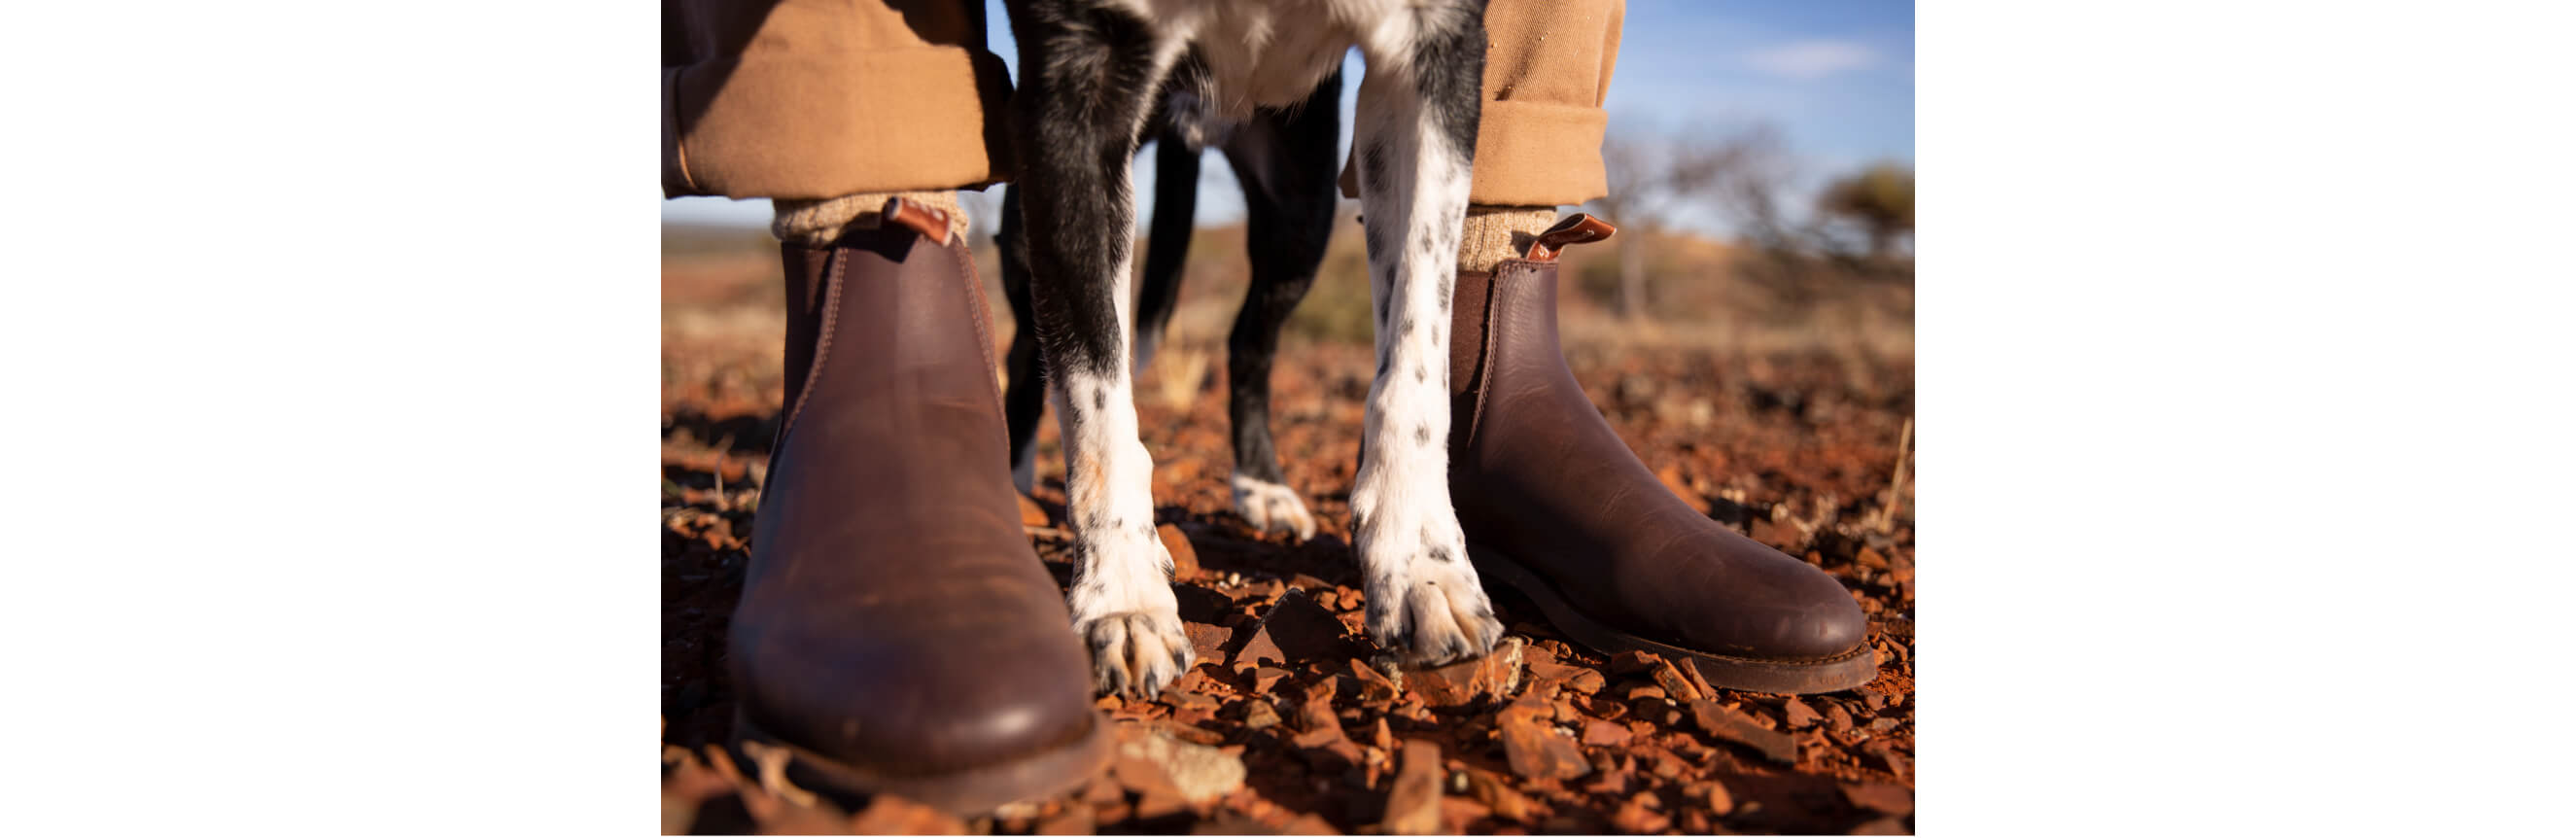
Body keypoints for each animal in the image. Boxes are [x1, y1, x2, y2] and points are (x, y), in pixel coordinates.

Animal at [993, 0, 1504, 690]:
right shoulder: (1071, 98)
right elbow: (1092, 383)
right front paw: (1122, 595)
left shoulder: (1433, 57)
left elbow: (1417, 348)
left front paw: (1422, 563)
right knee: (1032, 348)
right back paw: (1019, 482)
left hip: (1302, 203)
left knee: (1249, 342)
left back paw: (1262, 485)